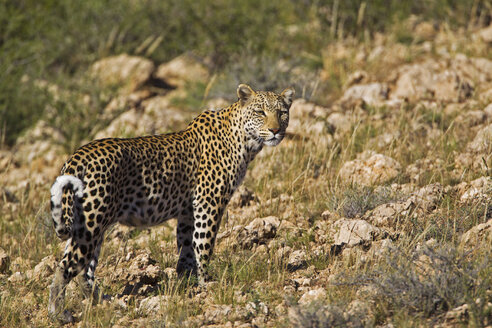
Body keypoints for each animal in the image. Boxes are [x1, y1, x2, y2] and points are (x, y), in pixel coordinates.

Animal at [48, 83, 294, 322]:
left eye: (282, 113)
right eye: (260, 112)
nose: (276, 130)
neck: (245, 141)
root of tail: (76, 156)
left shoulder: (188, 212)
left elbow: (187, 250)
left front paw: (186, 283)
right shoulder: (209, 204)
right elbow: (204, 245)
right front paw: (207, 284)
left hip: (90, 226)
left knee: (84, 271)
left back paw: (103, 302)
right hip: (91, 223)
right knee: (65, 267)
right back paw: (59, 314)